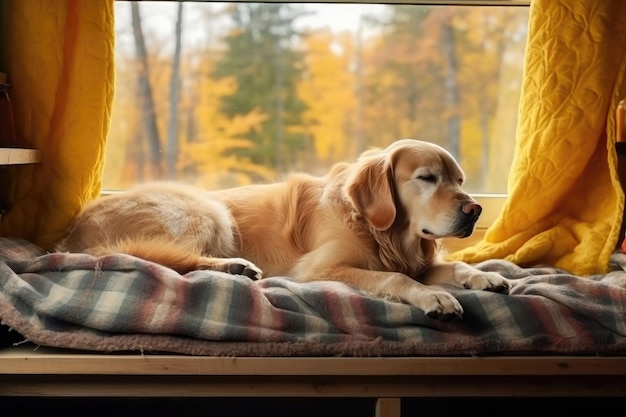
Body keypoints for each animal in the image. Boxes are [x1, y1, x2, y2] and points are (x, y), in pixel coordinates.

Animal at [56, 140, 510, 318]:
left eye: (460, 180)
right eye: (428, 178)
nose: (474, 210)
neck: (381, 232)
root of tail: (74, 234)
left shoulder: (418, 258)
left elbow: (452, 267)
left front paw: (484, 277)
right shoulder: (319, 269)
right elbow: (396, 278)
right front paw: (435, 297)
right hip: (206, 209)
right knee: (170, 259)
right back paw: (237, 267)